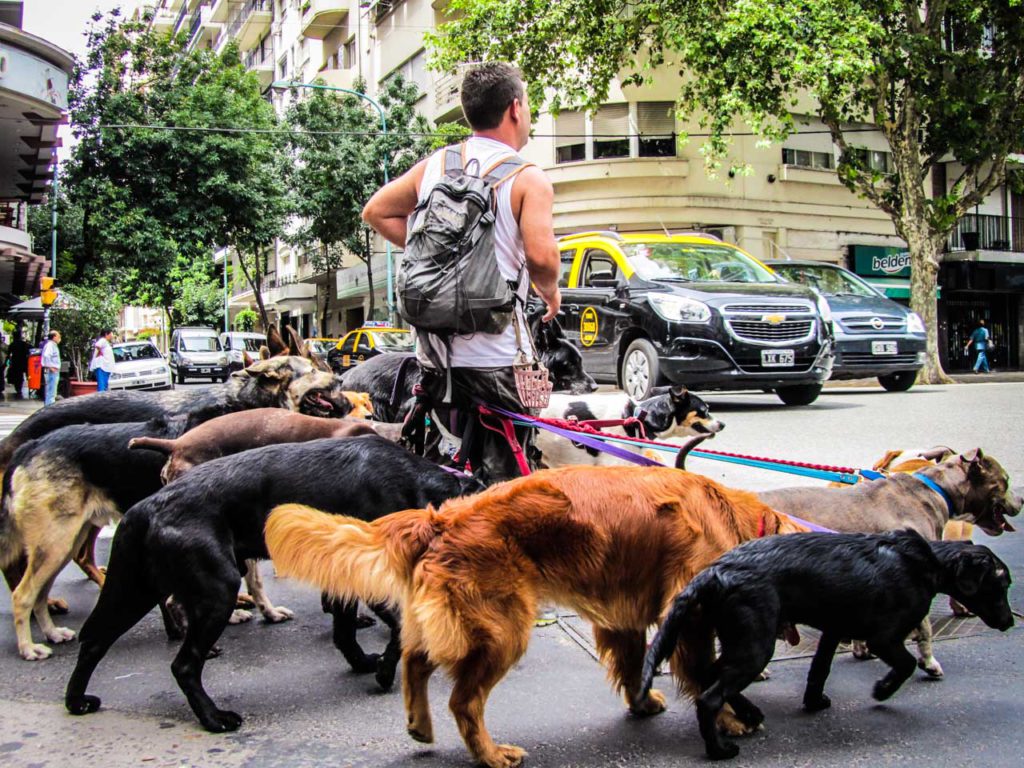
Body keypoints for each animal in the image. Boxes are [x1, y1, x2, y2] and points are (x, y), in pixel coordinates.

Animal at [66, 438, 481, 733]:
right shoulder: (371, 578)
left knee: (95, 642)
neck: (419, 487)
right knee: (183, 665)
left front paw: (363, 662)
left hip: (134, 591)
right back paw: (214, 719)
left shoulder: (343, 580)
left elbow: (345, 631)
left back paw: (76, 701)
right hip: (216, 592)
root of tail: (144, 507)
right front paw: (382, 673)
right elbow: (396, 628)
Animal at [266, 466, 806, 765]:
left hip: (460, 624)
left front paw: (641, 702)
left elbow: (635, 665)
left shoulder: (623, 616)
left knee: (415, 661)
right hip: (503, 631)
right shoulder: (689, 615)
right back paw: (490, 755)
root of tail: (440, 519)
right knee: (462, 701)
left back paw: (420, 724)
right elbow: (703, 673)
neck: (735, 521)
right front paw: (732, 720)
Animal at [757, 450, 1019, 679]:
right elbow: (925, 628)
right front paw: (929, 663)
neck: (937, 489)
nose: (1022, 499)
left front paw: (861, 649)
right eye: (1005, 480)